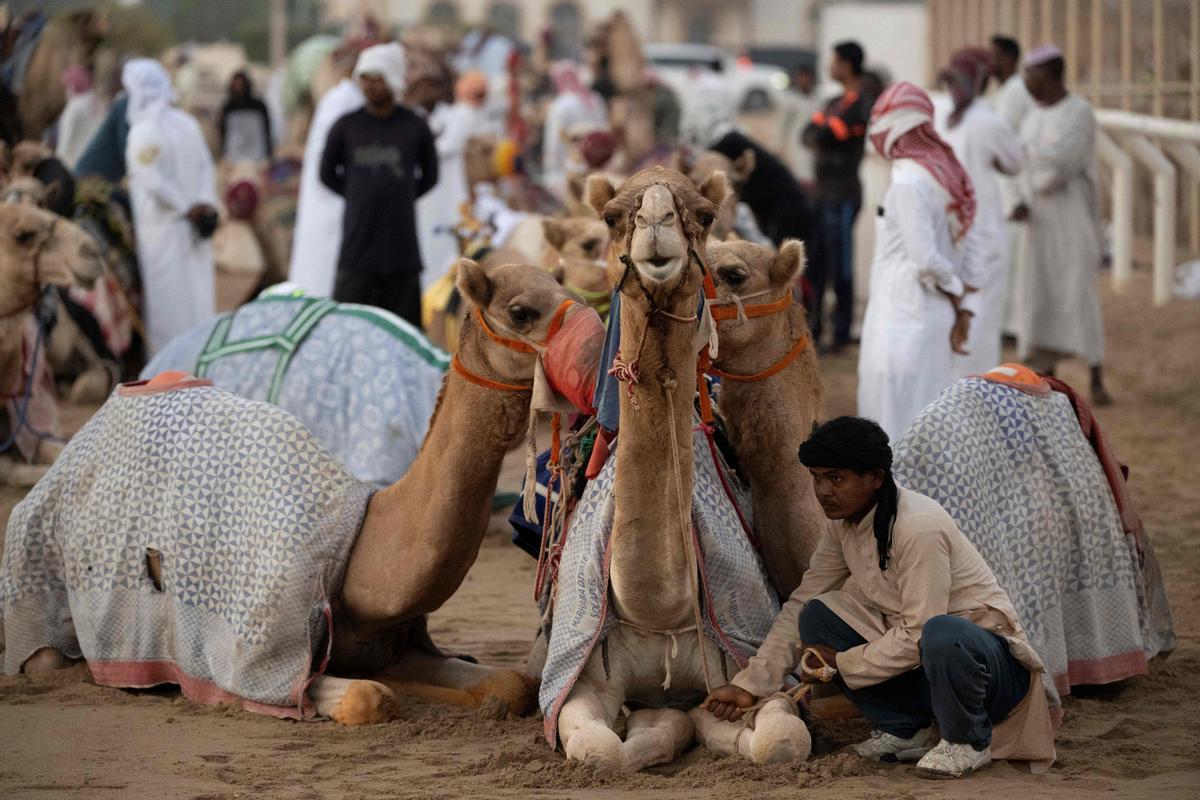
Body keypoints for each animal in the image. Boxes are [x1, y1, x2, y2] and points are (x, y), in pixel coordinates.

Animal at [16, 260, 597, 729]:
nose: (595, 350)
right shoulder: (263, 661)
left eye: (570, 289)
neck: (360, 549)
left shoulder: (390, 644)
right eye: (521, 311)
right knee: (47, 656)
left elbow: (509, 684)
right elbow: (370, 698)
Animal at [544, 167, 806, 767]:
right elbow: (600, 750)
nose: (657, 222)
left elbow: (781, 740)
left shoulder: (737, 663)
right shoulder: (585, 681)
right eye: (612, 215)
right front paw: (654, 730)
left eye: (704, 214)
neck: (660, 613)